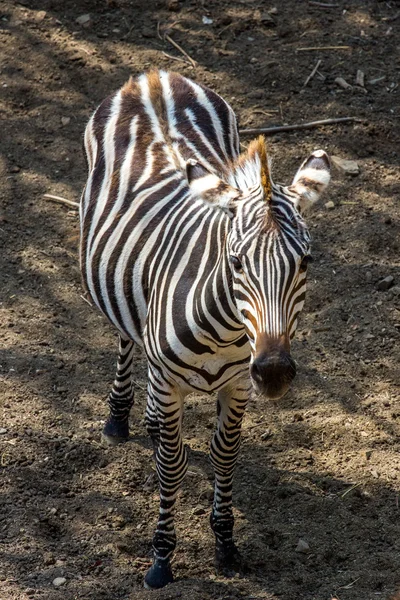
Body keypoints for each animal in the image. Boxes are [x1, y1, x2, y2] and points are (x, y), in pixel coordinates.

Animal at [79, 71, 332, 592]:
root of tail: (157, 77)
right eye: (235, 262)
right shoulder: (174, 378)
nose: (273, 373)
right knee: (126, 338)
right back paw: (120, 417)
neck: (225, 332)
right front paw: (161, 559)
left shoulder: (237, 384)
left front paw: (226, 545)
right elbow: (172, 466)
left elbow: (224, 456)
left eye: (306, 262)